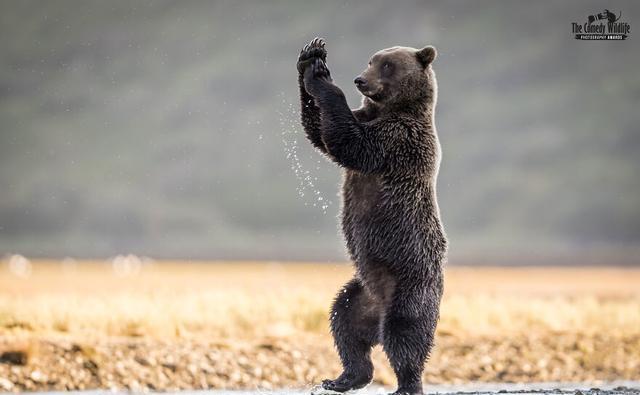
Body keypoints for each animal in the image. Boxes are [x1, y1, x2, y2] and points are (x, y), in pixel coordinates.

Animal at [298, 38, 448, 395]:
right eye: (371, 60)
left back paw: (407, 384)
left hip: (410, 281)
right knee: (344, 324)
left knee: (405, 335)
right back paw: (343, 378)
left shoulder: (398, 140)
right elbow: (321, 132)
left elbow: (350, 143)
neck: (389, 110)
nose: (360, 80)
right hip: (358, 292)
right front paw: (310, 58)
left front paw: (323, 78)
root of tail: (377, 311)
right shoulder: (367, 118)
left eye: (387, 66)